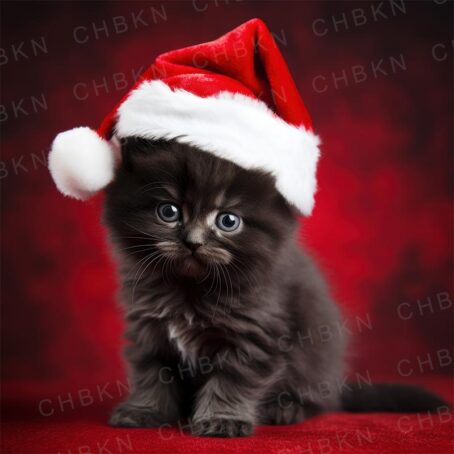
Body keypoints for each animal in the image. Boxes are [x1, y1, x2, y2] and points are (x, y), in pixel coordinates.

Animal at [104, 137, 448, 436]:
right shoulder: (149, 330)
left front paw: (222, 419)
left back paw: (288, 409)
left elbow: (230, 381)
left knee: (321, 400)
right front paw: (144, 412)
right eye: (169, 211)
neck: (190, 289)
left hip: (314, 359)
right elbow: (152, 375)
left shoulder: (253, 334)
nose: (193, 242)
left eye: (228, 221)